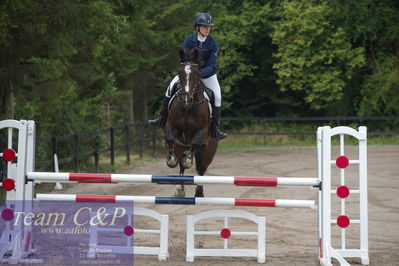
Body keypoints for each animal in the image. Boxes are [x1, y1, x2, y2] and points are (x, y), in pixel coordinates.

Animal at [165, 48, 219, 197]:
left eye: (197, 73)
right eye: (180, 72)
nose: (186, 100)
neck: (188, 107)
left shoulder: (201, 132)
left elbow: (194, 143)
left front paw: (188, 160)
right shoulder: (171, 126)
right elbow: (170, 137)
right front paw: (171, 160)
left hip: (208, 150)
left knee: (202, 168)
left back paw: (199, 192)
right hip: (180, 145)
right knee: (182, 164)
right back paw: (179, 188)